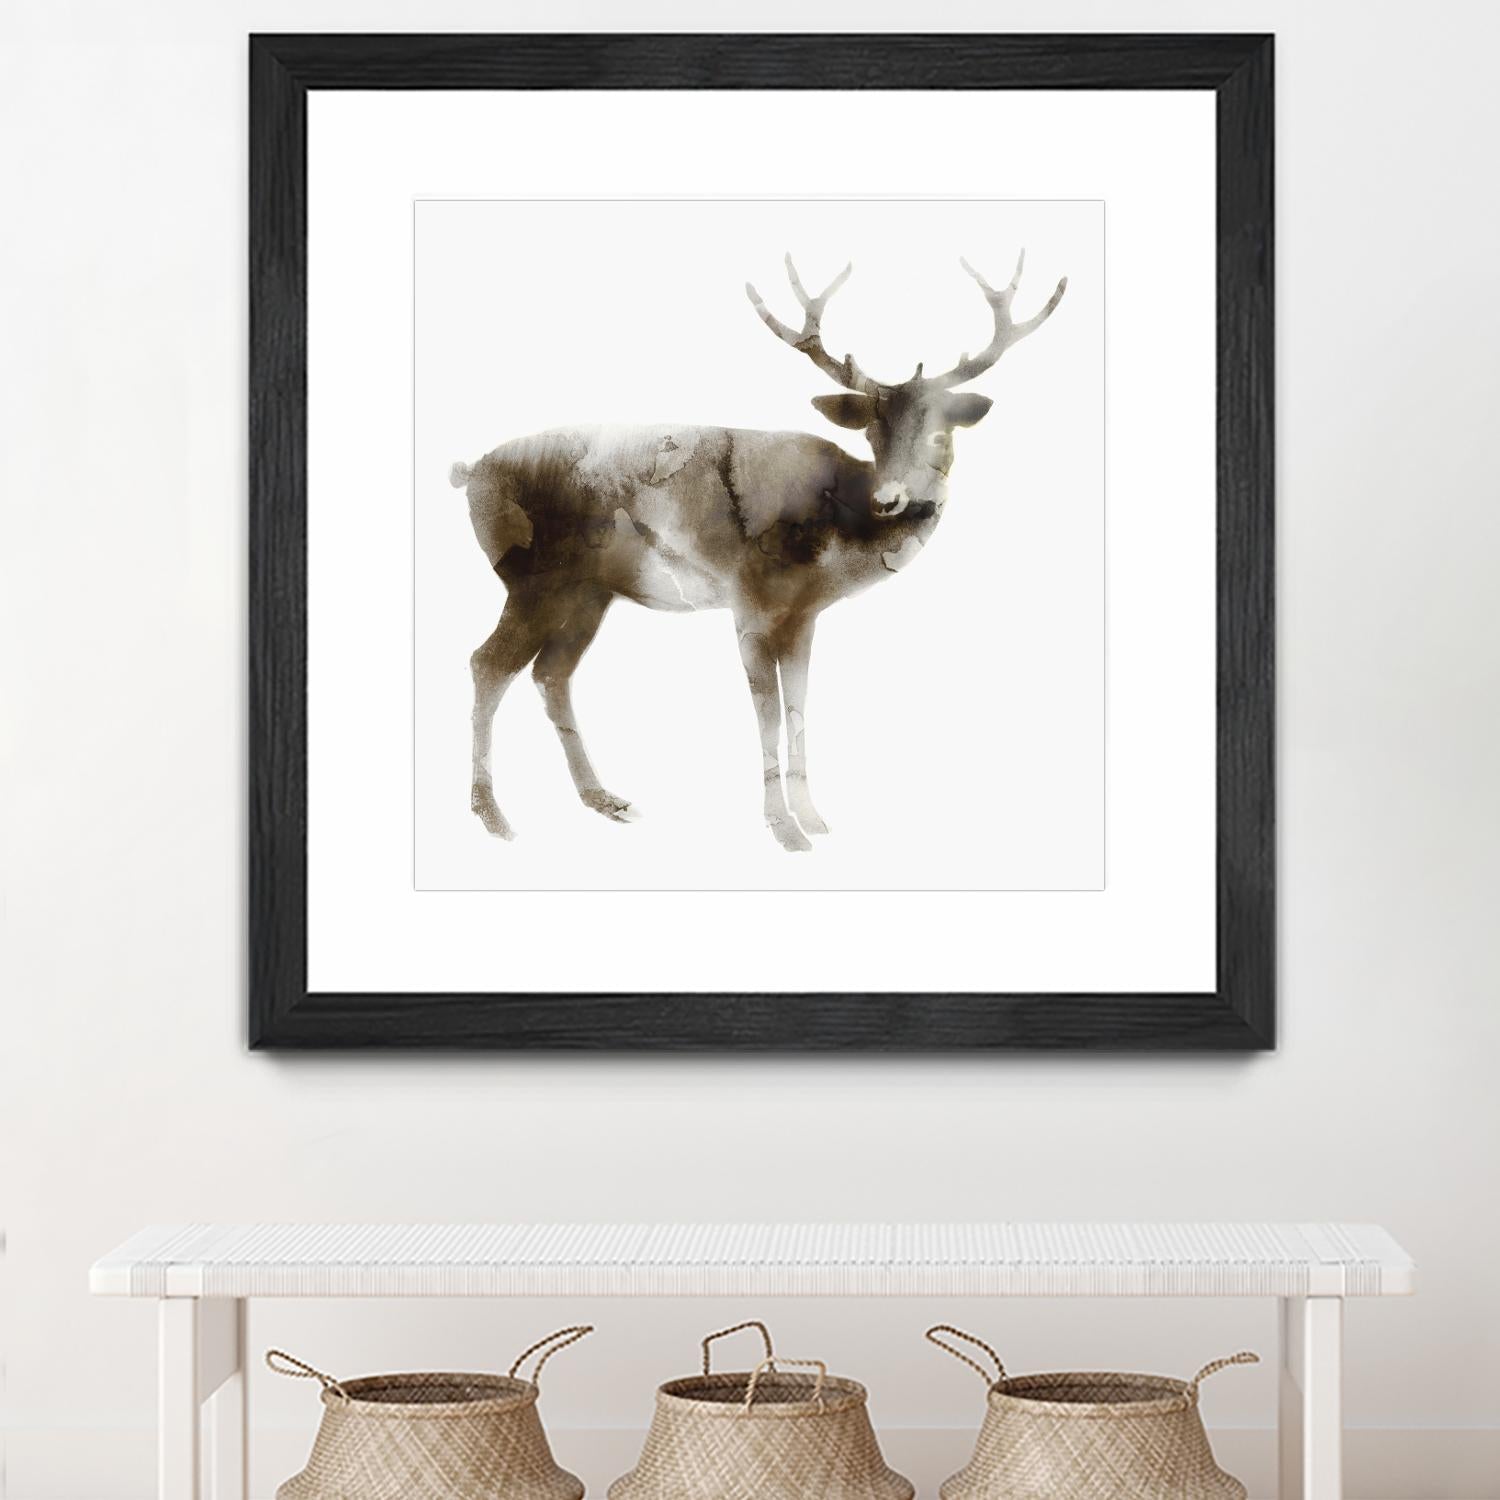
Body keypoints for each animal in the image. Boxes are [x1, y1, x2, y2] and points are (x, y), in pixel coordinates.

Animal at [449, 252, 1067, 852]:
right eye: (871, 431)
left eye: (942, 432)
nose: (890, 499)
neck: (835, 543)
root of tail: (470, 473)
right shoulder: (749, 604)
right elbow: (767, 714)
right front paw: (784, 829)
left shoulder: (804, 617)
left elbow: (798, 708)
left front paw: (814, 818)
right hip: (532, 580)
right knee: (487, 663)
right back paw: (493, 816)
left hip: (587, 594)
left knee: (551, 674)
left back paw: (603, 798)